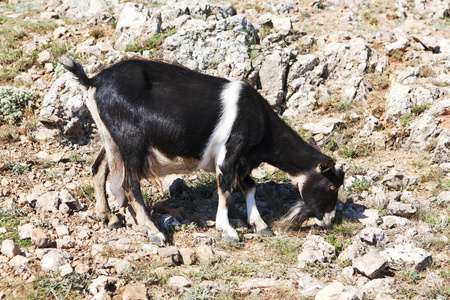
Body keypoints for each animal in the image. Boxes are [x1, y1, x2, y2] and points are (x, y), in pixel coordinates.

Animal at [62, 57, 344, 245]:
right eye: (332, 186)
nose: (330, 220)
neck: (260, 122)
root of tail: (93, 80)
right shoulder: (230, 154)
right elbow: (226, 189)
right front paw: (228, 231)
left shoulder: (243, 160)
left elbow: (250, 186)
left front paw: (260, 225)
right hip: (131, 141)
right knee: (130, 184)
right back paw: (155, 232)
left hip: (111, 138)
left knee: (99, 168)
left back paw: (107, 216)